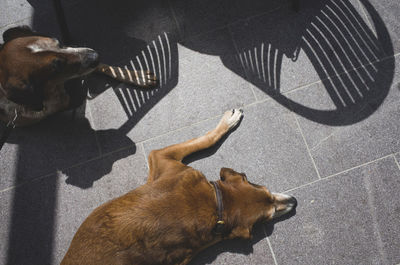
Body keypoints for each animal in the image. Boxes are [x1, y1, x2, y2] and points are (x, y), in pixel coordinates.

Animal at [61, 108, 296, 264]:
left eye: (268, 191)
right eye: (268, 216)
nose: (294, 201)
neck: (218, 203)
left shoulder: (162, 160)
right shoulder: (163, 157)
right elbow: (206, 139)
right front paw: (227, 122)